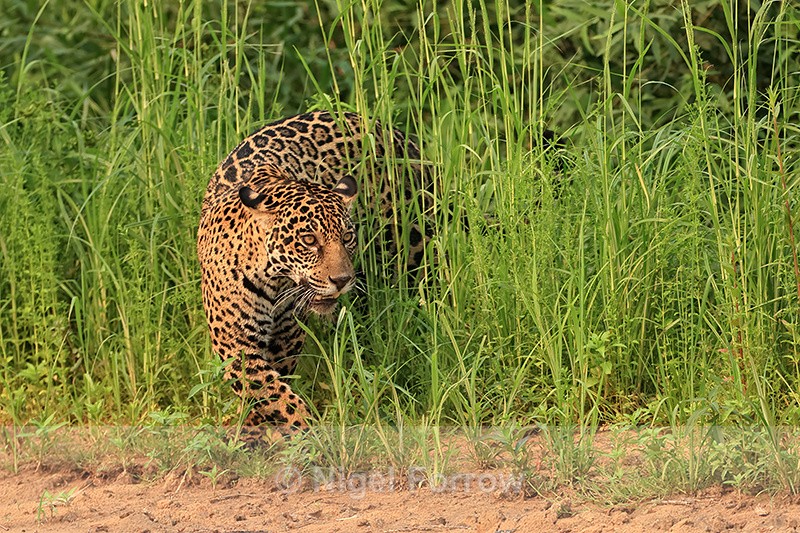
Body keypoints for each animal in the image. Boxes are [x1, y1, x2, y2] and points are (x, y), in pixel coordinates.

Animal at [197, 111, 428, 435]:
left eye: (347, 237)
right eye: (308, 240)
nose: (342, 280)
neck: (274, 279)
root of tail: (385, 127)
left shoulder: (286, 336)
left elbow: (275, 387)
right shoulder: (235, 341)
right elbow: (269, 390)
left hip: (414, 241)